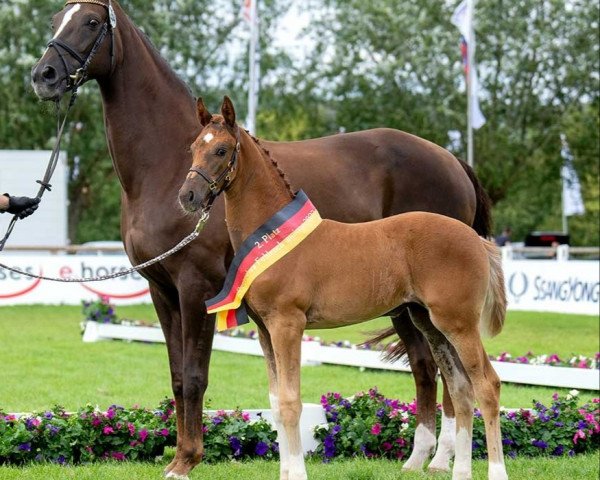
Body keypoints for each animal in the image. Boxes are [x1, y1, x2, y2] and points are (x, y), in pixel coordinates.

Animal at [179, 97, 510, 480]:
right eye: (193, 147)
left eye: (221, 150)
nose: (188, 196)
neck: (272, 235)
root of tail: (476, 241)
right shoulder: (264, 331)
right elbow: (275, 403)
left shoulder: (287, 324)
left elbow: (290, 403)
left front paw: (298, 473)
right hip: (429, 322)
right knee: (460, 389)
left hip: (458, 322)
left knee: (487, 385)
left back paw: (494, 471)